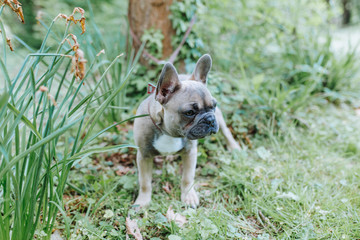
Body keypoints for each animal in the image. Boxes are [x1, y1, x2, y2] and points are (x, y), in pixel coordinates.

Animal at [134, 54, 240, 208]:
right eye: (189, 112)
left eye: (213, 106)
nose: (209, 119)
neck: (169, 133)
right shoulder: (144, 156)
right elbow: (145, 182)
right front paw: (142, 201)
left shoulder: (190, 153)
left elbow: (187, 177)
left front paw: (188, 196)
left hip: (220, 118)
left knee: (226, 131)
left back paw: (234, 147)